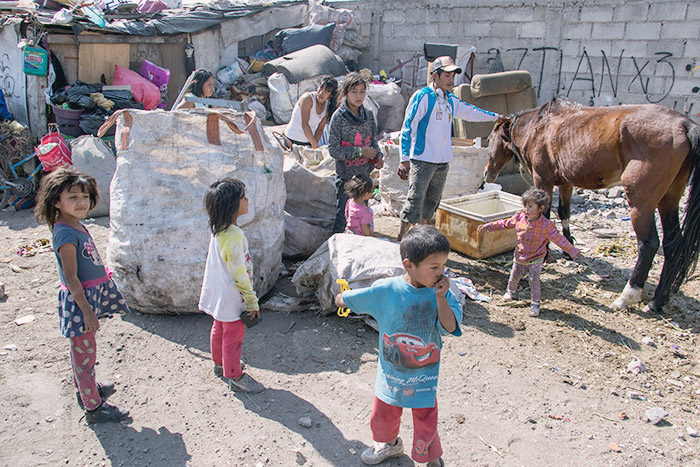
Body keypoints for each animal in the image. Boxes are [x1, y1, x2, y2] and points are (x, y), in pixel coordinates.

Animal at [483, 98, 700, 313]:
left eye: (490, 139)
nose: (486, 173)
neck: (539, 126)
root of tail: (683, 124)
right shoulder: (566, 182)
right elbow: (564, 212)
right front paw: (567, 247)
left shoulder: (543, 179)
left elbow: (546, 216)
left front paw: (545, 254)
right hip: (669, 198)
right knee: (672, 244)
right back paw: (657, 301)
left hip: (641, 201)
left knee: (649, 244)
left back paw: (627, 296)